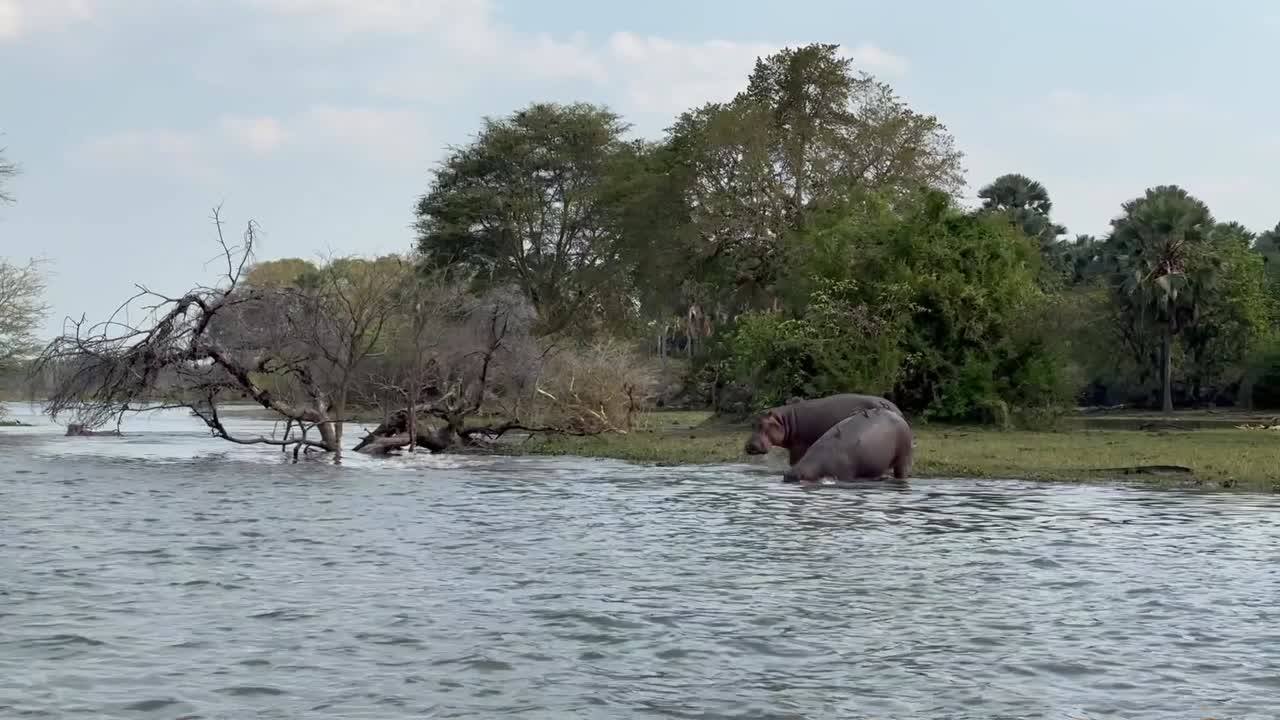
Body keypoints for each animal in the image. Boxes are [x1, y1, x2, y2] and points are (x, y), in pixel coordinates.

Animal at [744, 393, 903, 465]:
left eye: (765, 424)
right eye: (752, 424)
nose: (750, 446)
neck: (784, 420)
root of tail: (896, 409)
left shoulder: (798, 447)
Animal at [781, 407, 913, 484]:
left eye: (799, 477)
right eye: (785, 476)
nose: (788, 474)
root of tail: (899, 416)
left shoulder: (844, 474)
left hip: (903, 456)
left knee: (901, 471)